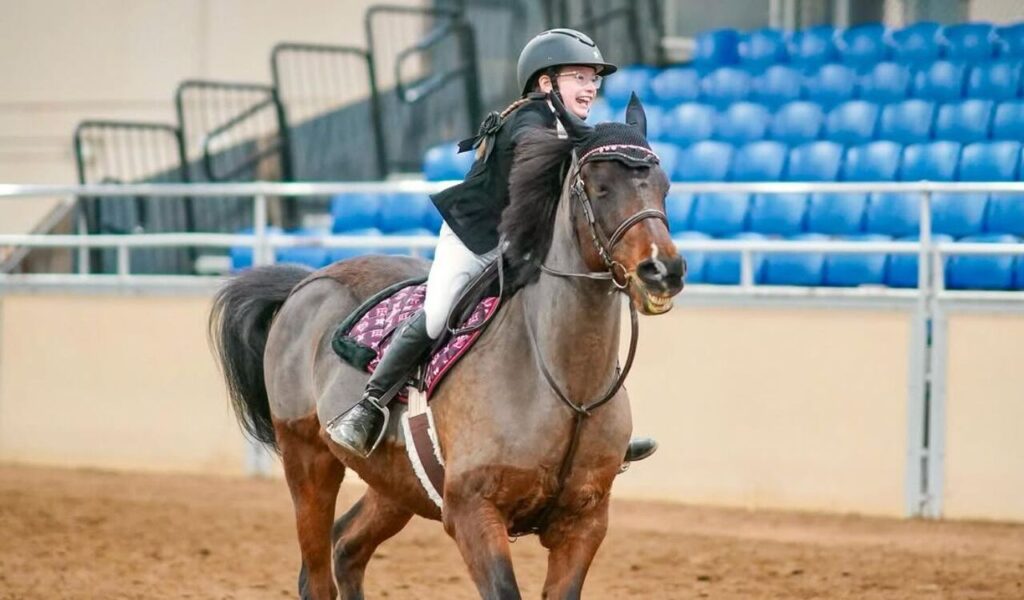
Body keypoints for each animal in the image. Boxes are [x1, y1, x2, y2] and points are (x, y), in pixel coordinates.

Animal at [208, 94, 686, 599]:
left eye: (664, 187)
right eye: (599, 187)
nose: (663, 271)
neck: (565, 387)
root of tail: (306, 281)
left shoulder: (584, 522)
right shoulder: (472, 512)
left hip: (395, 484)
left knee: (348, 547)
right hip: (308, 460)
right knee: (318, 573)